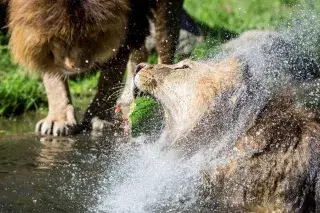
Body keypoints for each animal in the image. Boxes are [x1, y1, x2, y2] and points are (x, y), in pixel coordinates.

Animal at [6, 0, 184, 136]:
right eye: (62, 38)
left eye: (91, 35)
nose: (79, 68)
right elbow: (53, 76)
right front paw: (58, 120)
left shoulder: (125, 22)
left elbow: (110, 76)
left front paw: (97, 118)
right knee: (141, 51)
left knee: (165, 42)